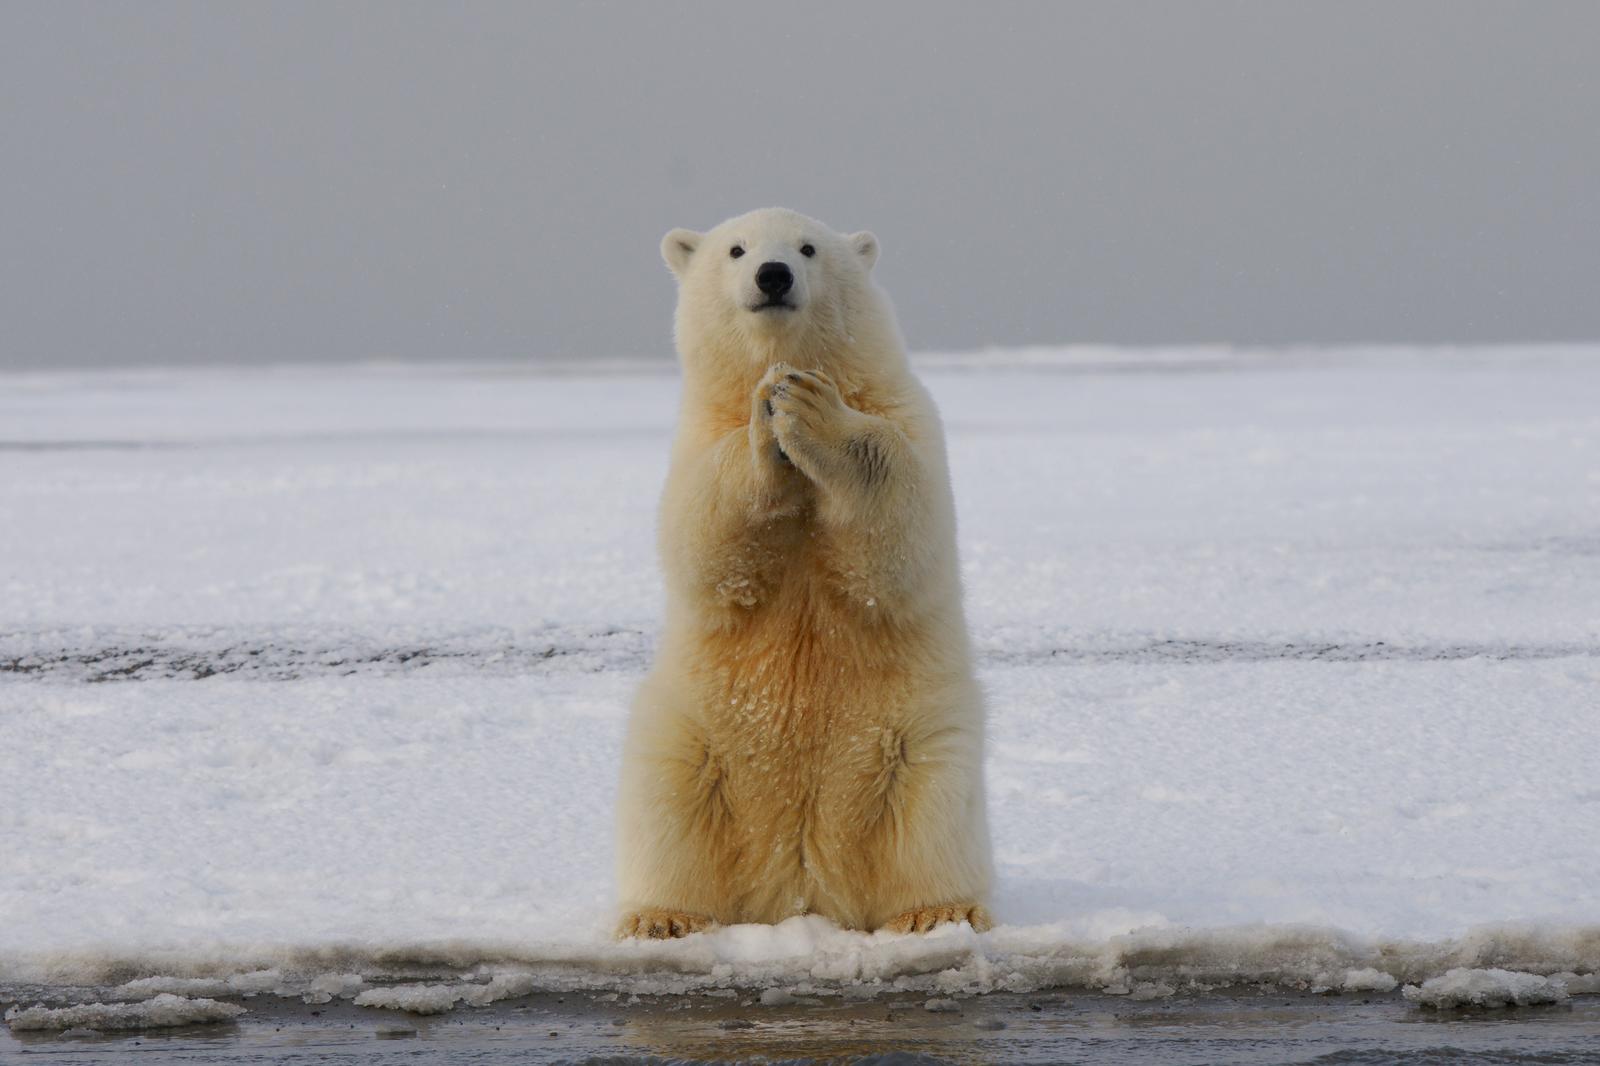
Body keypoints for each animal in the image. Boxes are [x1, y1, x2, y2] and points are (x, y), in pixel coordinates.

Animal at [615, 207, 992, 938]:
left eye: (809, 248)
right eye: (736, 249)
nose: (773, 274)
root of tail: (801, 887)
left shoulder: (906, 414)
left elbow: (903, 526)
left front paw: (809, 409)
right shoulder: (697, 436)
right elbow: (704, 536)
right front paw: (768, 418)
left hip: (917, 740)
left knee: (932, 817)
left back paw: (936, 911)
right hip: (693, 740)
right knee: (668, 810)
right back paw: (663, 918)